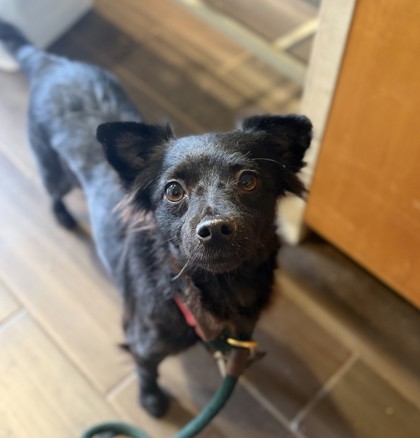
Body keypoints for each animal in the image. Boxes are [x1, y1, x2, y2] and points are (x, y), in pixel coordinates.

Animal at [0, 20, 312, 417]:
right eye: (173, 190)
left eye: (248, 180)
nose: (215, 229)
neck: (216, 287)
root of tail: (48, 62)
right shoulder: (143, 342)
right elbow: (146, 370)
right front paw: (151, 401)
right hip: (54, 171)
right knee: (53, 192)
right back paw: (63, 218)